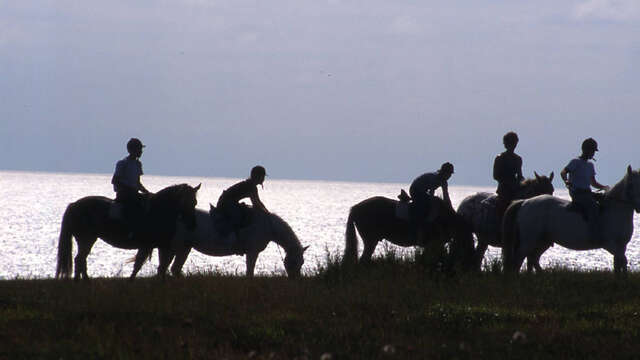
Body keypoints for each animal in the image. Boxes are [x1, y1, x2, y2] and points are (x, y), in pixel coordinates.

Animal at [55, 183, 200, 282]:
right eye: (185, 202)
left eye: (195, 202)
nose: (192, 225)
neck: (158, 211)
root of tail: (74, 205)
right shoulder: (150, 245)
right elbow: (142, 264)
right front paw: (132, 280)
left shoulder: (160, 246)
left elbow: (159, 266)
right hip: (86, 239)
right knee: (80, 259)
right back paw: (83, 281)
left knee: (81, 259)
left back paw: (82, 280)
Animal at [168, 205, 308, 278]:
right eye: (294, 261)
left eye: (302, 262)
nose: (295, 279)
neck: (267, 226)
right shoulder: (252, 252)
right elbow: (250, 271)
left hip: (185, 248)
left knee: (175, 269)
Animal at [502, 167, 640, 274]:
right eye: (631, 185)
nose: (638, 207)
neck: (614, 211)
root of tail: (525, 202)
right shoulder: (610, 244)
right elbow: (622, 261)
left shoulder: (622, 245)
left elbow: (619, 264)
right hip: (528, 240)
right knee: (519, 260)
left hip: (542, 241)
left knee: (532, 259)